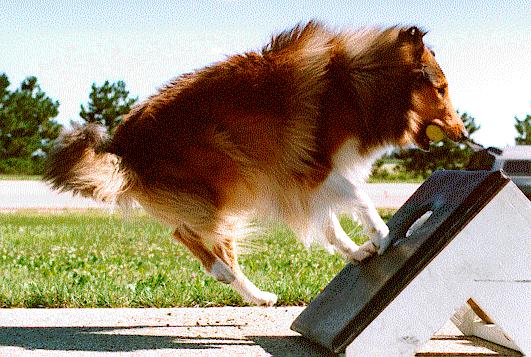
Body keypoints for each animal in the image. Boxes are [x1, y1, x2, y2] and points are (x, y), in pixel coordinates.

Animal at [47, 21, 468, 304]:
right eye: (442, 88)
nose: (463, 132)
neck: (357, 83)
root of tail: (121, 143)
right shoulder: (309, 168)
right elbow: (359, 197)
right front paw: (381, 235)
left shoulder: (304, 182)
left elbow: (330, 225)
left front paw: (358, 251)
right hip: (218, 185)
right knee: (188, 235)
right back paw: (226, 275)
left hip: (224, 192)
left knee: (212, 243)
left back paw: (257, 295)